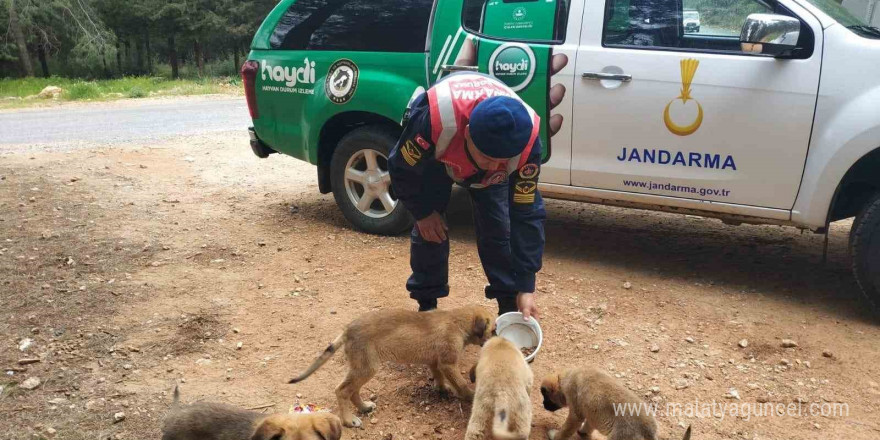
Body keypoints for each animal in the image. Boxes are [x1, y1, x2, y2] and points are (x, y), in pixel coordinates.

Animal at [288, 306, 496, 426]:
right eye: (493, 329)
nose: (497, 339)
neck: (458, 320)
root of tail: (348, 330)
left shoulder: (435, 362)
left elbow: (438, 377)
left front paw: (442, 389)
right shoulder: (448, 363)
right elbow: (461, 384)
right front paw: (470, 396)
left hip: (362, 367)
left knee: (353, 390)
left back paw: (364, 407)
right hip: (367, 367)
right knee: (342, 391)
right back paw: (348, 420)